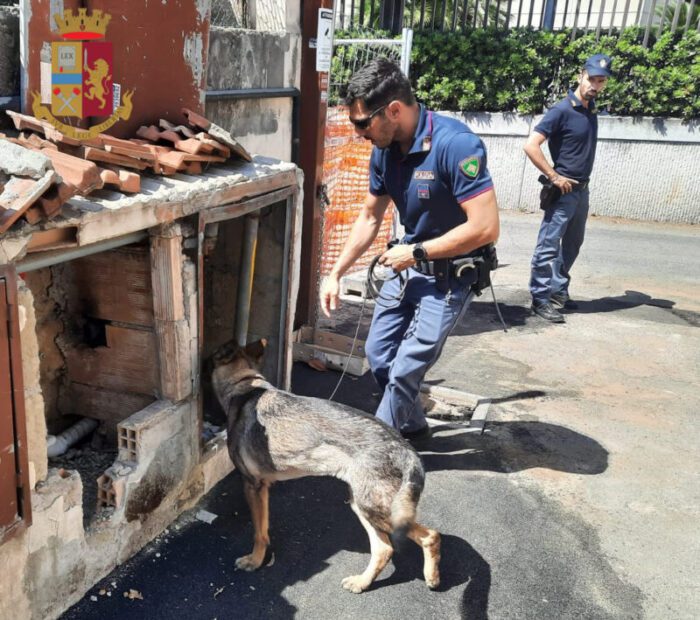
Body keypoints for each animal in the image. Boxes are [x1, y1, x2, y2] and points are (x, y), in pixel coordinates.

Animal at [211, 342, 440, 592]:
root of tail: (407, 451)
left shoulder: (253, 486)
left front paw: (254, 561)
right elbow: (264, 528)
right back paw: (362, 582)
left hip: (376, 509)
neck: (244, 383)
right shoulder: (264, 489)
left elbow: (258, 533)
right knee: (385, 549)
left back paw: (431, 577)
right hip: (361, 506)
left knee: (431, 536)